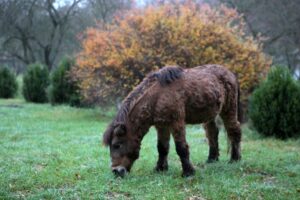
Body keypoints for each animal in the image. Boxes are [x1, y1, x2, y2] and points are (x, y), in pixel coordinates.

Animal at [103, 65, 241, 177]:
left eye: (117, 145)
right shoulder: (161, 125)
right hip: (209, 114)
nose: (116, 171)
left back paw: (235, 159)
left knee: (234, 130)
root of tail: (230, 73)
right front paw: (160, 169)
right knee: (212, 133)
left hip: (229, 109)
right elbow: (162, 148)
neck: (157, 96)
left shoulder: (176, 123)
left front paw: (188, 172)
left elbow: (181, 148)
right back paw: (212, 159)